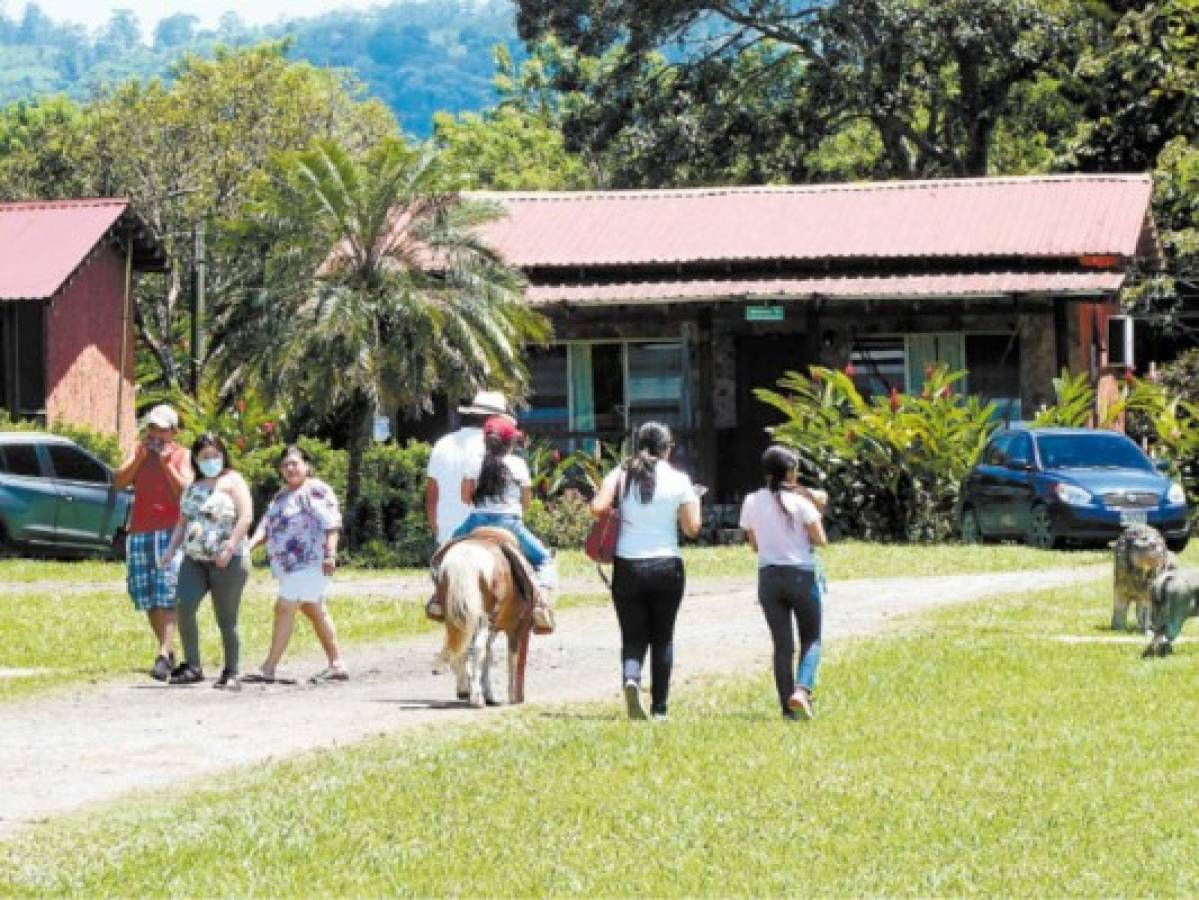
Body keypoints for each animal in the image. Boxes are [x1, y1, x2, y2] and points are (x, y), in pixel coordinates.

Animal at [436, 527, 534, 709]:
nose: (520, 698)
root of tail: (465, 560)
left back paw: (466, 691)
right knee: (477, 650)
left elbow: (487, 655)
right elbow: (505, 657)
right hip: (484, 620)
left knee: (461, 648)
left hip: (457, 618)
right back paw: (477, 698)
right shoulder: (513, 628)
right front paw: (508, 696)